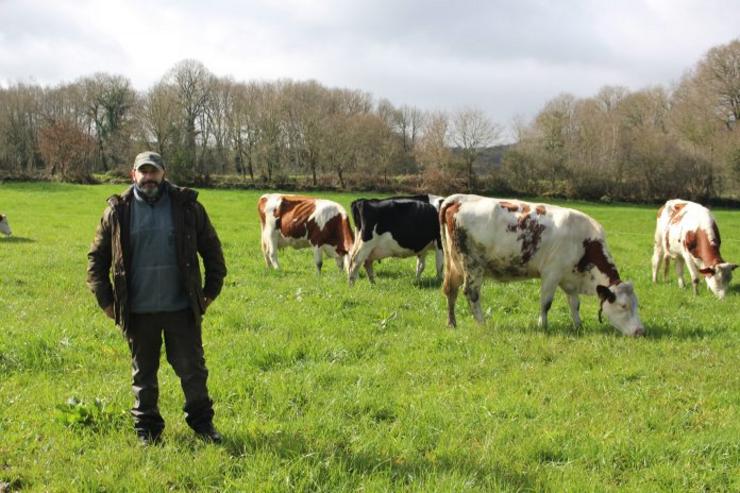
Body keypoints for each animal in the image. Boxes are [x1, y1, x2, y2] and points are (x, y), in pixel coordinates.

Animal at [442, 194, 644, 336]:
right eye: (623, 306)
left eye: (637, 305)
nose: (640, 331)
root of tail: (460, 199)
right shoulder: (551, 273)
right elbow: (546, 303)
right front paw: (543, 326)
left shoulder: (568, 278)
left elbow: (575, 304)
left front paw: (578, 326)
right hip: (473, 265)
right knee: (471, 293)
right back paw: (482, 323)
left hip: (455, 264)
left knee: (451, 290)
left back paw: (452, 323)